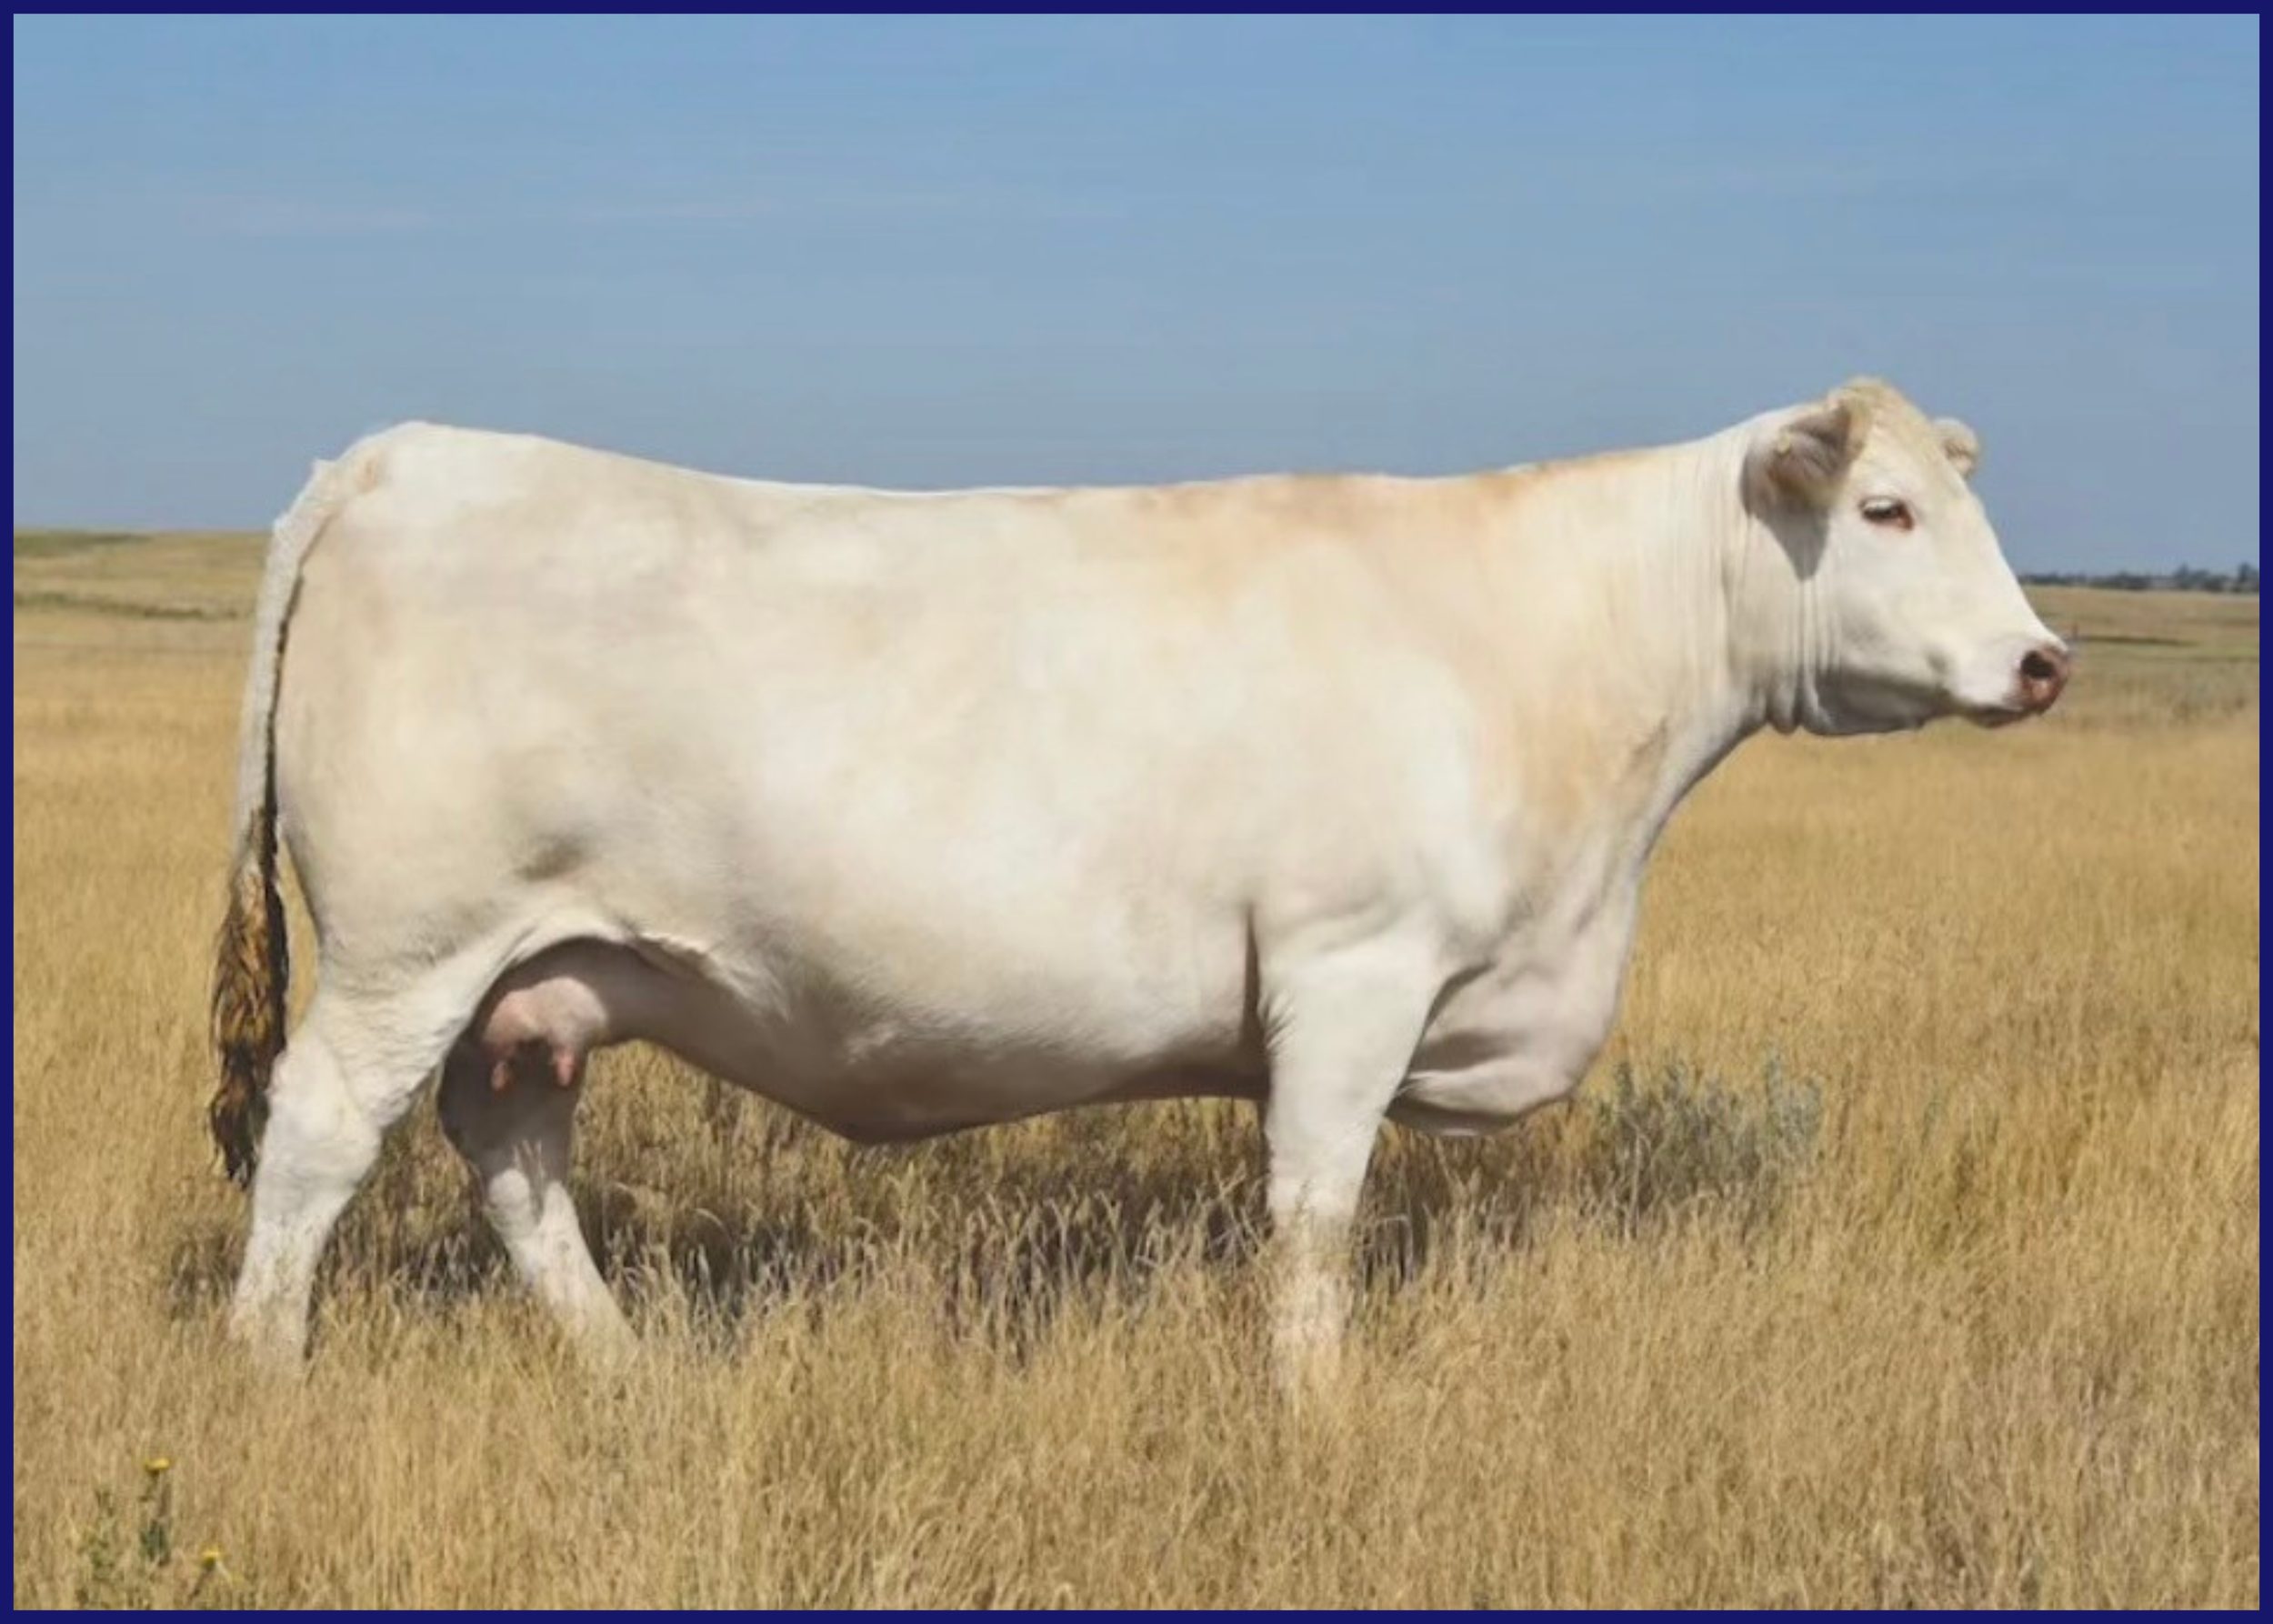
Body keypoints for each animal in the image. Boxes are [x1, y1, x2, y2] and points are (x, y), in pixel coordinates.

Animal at [209, 377, 2069, 1387]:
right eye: (1886, 510)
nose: (2043, 660)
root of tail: (398, 453)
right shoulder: (1351, 969)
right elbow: (1315, 1217)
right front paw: (1316, 1410)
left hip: (540, 977)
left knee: (513, 1152)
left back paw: (625, 1364)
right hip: (409, 946)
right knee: (318, 1137)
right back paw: (267, 1367)